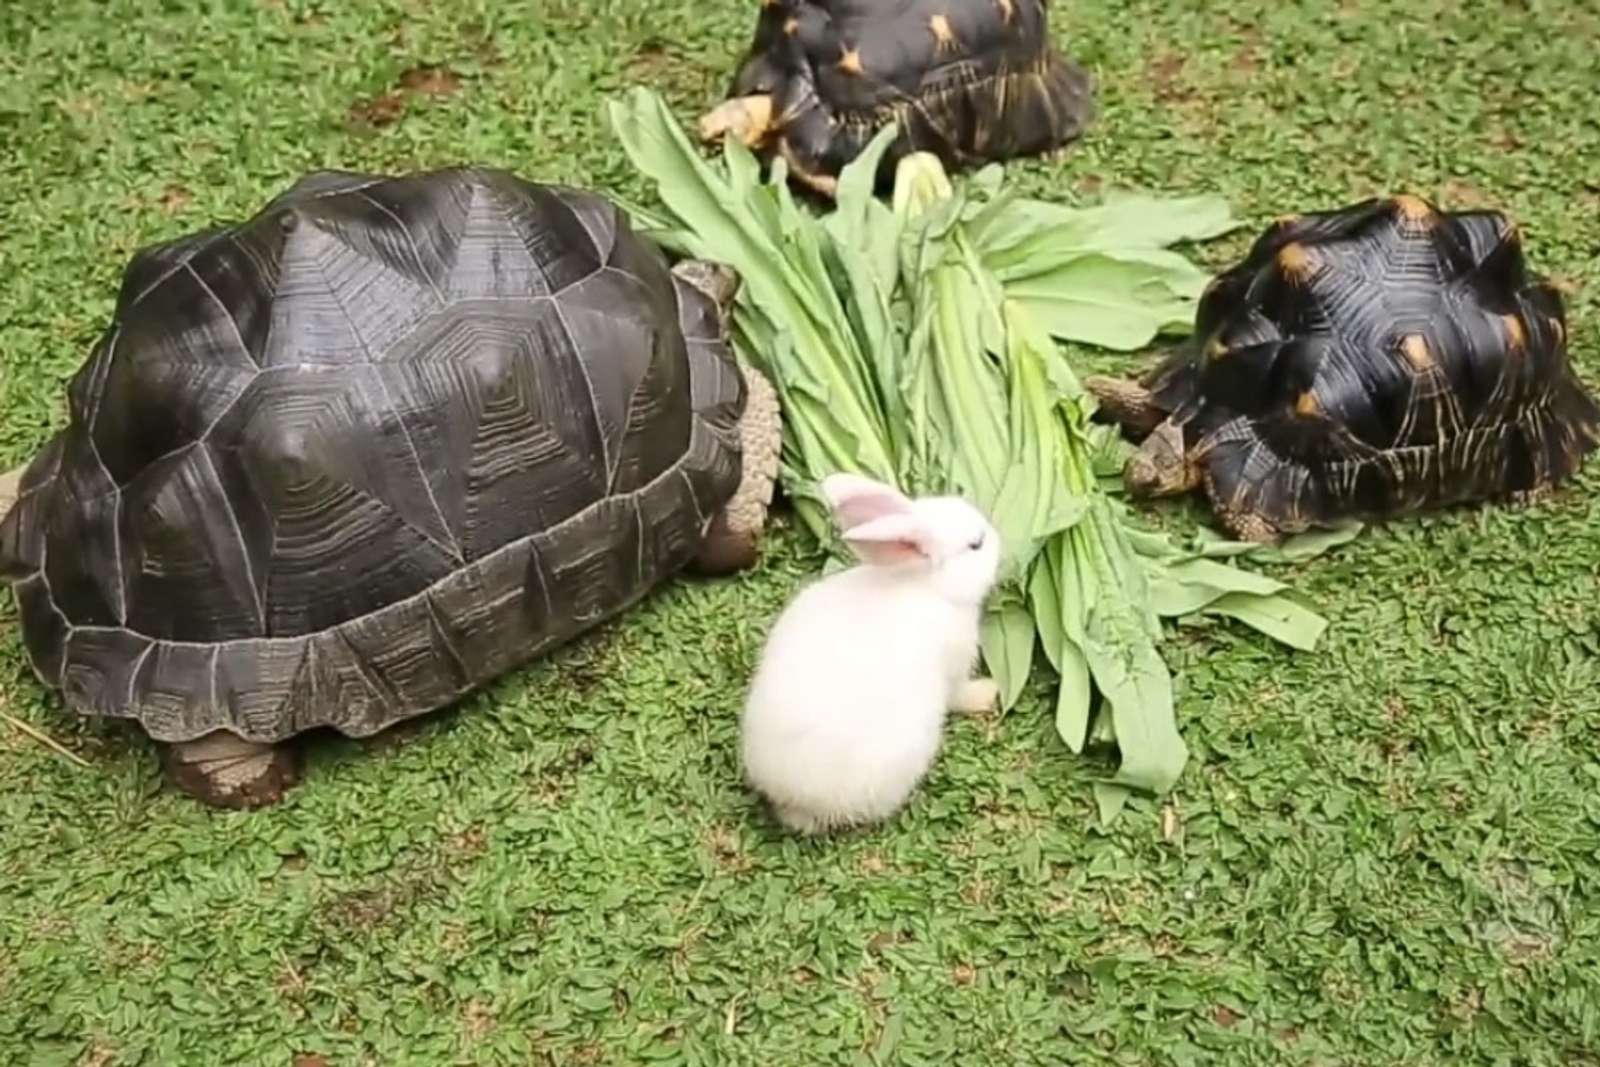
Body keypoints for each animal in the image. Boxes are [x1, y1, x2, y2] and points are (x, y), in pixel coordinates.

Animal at [736, 473, 998, 831]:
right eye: (975, 545)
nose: (998, 538)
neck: (923, 583)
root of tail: (791, 795)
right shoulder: (954, 671)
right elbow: (961, 695)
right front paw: (989, 693)